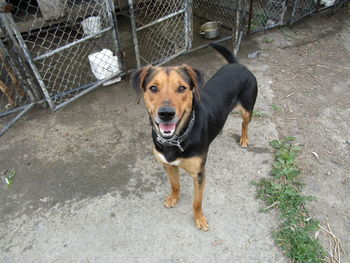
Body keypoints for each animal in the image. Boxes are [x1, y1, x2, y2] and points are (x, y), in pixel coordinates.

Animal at [131, 43, 258, 231]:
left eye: (182, 88)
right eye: (153, 88)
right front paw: (174, 198)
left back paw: (244, 138)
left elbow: (197, 202)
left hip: (248, 108)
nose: (166, 114)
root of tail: (238, 65)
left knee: (245, 123)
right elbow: (175, 184)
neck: (176, 140)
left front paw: (199, 218)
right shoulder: (167, 164)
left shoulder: (199, 173)